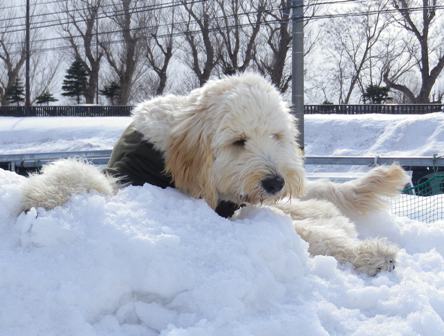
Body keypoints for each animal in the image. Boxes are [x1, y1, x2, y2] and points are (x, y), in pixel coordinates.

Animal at [20, 73, 410, 276]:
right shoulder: (127, 177)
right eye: (238, 141)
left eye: (277, 136)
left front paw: (367, 253)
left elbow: (313, 235)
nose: (275, 183)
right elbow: (85, 178)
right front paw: (43, 193)